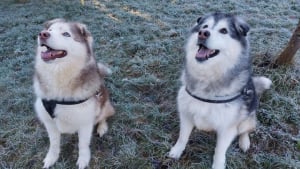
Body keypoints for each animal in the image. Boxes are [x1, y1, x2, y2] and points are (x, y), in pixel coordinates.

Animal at [33, 18, 115, 169]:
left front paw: (83, 160)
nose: (43, 34)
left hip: (104, 105)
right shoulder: (49, 121)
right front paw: (51, 158)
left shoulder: (85, 122)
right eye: (50, 30)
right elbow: (54, 144)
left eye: (66, 34)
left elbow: (83, 144)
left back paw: (102, 127)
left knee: (103, 116)